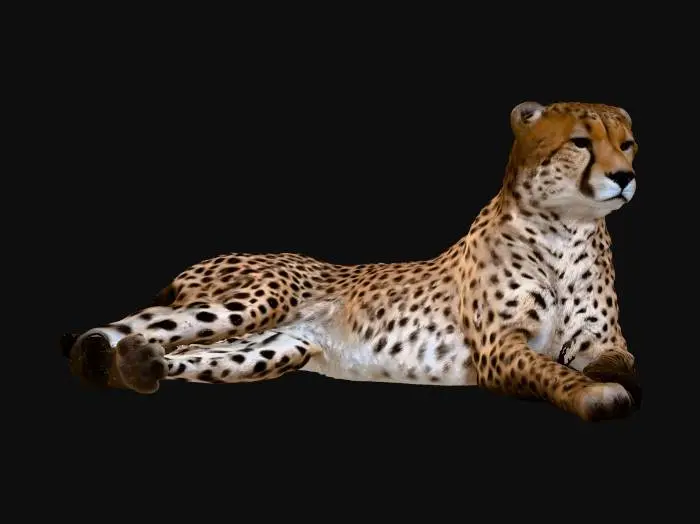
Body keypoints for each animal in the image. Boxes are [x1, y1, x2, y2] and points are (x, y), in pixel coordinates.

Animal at [62, 100, 642, 422]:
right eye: (581, 142)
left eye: (629, 143)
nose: (625, 177)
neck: (564, 228)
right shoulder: (500, 349)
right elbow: (552, 370)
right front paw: (596, 394)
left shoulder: (603, 341)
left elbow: (616, 362)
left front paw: (608, 379)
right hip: (252, 302)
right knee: (134, 329)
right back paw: (100, 357)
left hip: (276, 348)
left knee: (185, 353)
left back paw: (136, 365)